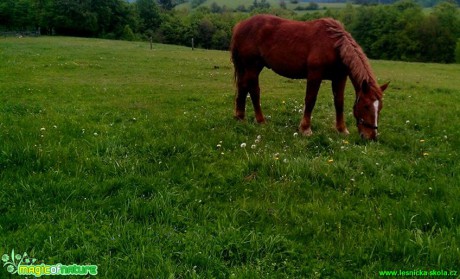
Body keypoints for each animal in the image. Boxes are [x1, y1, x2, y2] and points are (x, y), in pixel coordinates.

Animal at [230, 13, 388, 140]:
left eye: (379, 108)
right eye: (366, 106)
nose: (372, 137)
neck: (335, 46)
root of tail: (240, 25)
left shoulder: (340, 78)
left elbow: (339, 103)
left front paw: (342, 129)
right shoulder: (315, 75)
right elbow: (310, 100)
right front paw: (305, 129)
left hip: (248, 67)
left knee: (243, 87)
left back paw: (240, 117)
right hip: (253, 66)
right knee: (254, 91)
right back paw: (260, 121)